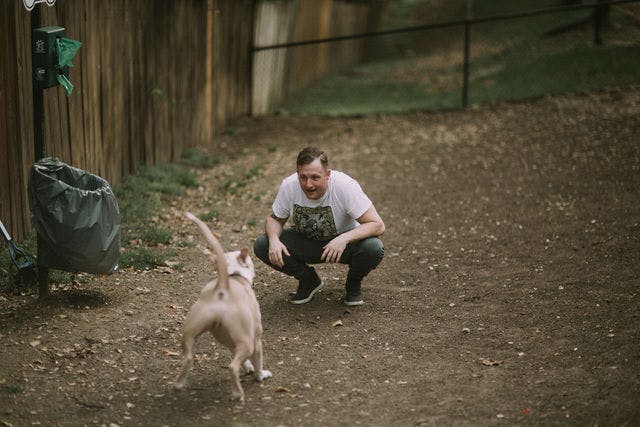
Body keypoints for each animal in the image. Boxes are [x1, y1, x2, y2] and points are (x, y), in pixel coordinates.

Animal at [174, 212, 272, 402]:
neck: (233, 275)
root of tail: (222, 286)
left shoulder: (230, 341)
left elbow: (243, 358)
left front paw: (248, 367)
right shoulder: (256, 338)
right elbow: (257, 361)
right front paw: (259, 375)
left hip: (189, 331)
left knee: (188, 357)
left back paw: (179, 384)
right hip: (247, 341)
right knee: (232, 367)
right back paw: (238, 393)